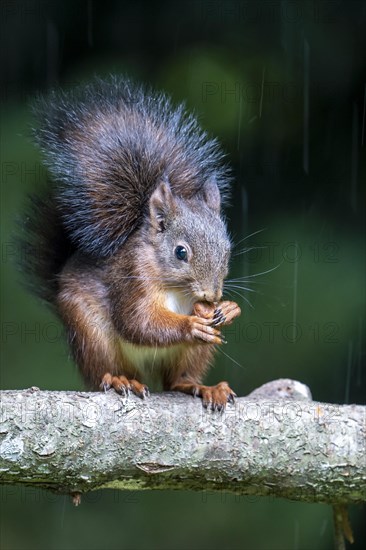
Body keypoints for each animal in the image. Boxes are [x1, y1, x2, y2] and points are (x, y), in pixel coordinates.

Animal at [22, 76, 240, 410]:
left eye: (227, 251)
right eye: (180, 252)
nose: (212, 296)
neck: (176, 287)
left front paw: (228, 309)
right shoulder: (131, 279)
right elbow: (138, 323)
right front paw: (190, 325)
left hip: (193, 353)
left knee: (177, 379)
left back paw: (203, 387)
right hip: (91, 333)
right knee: (105, 371)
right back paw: (119, 380)